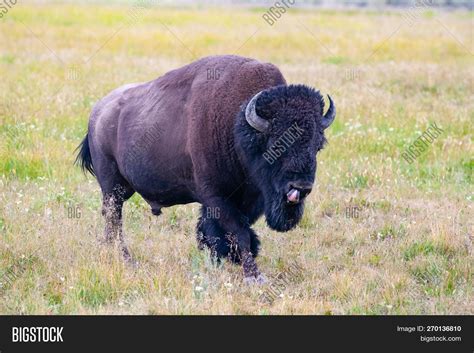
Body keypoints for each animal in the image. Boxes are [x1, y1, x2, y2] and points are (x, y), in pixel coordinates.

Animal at [76, 54, 336, 280]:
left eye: (318, 145)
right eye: (277, 144)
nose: (301, 187)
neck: (237, 124)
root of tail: (97, 112)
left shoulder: (248, 199)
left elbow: (216, 231)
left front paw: (217, 262)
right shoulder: (216, 196)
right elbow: (238, 232)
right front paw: (254, 276)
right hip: (112, 186)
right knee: (114, 218)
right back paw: (126, 259)